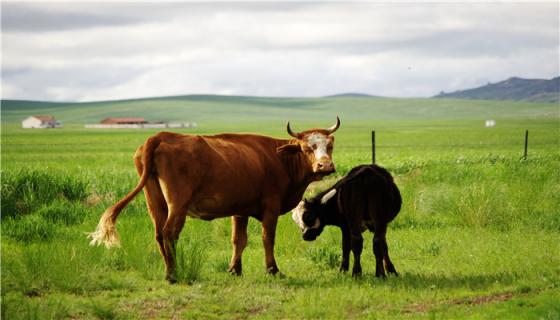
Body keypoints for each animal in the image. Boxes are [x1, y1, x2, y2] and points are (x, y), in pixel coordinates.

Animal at [89, 118, 340, 282]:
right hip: (177, 203)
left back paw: (169, 269)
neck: (279, 158)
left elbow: (238, 240)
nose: (325, 166)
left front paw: (235, 270)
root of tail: (160, 136)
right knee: (170, 233)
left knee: (159, 234)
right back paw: (173, 274)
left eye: (329, 146)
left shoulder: (240, 209)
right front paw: (273, 270)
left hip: (155, 202)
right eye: (307, 148)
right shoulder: (270, 208)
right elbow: (267, 239)